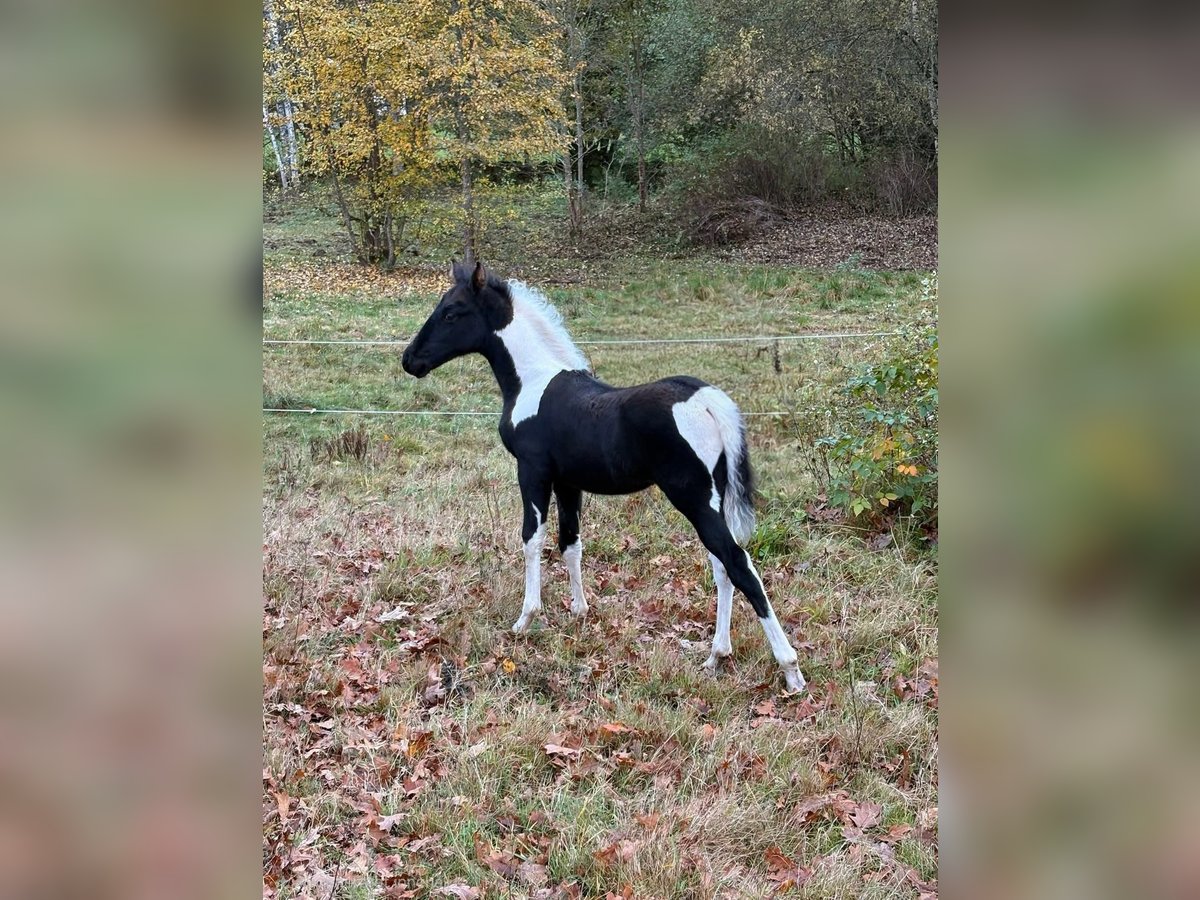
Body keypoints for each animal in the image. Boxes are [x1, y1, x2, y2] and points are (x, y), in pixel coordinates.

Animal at [401, 261, 806, 692]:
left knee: (738, 563)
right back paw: (716, 656)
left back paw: (790, 670)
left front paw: (525, 619)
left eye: (451, 312)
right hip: (713, 497)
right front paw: (580, 611)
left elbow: (532, 539)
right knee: (722, 568)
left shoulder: (532, 471)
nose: (410, 360)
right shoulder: (568, 482)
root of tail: (707, 400)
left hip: (692, 498)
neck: (533, 381)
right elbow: (570, 543)